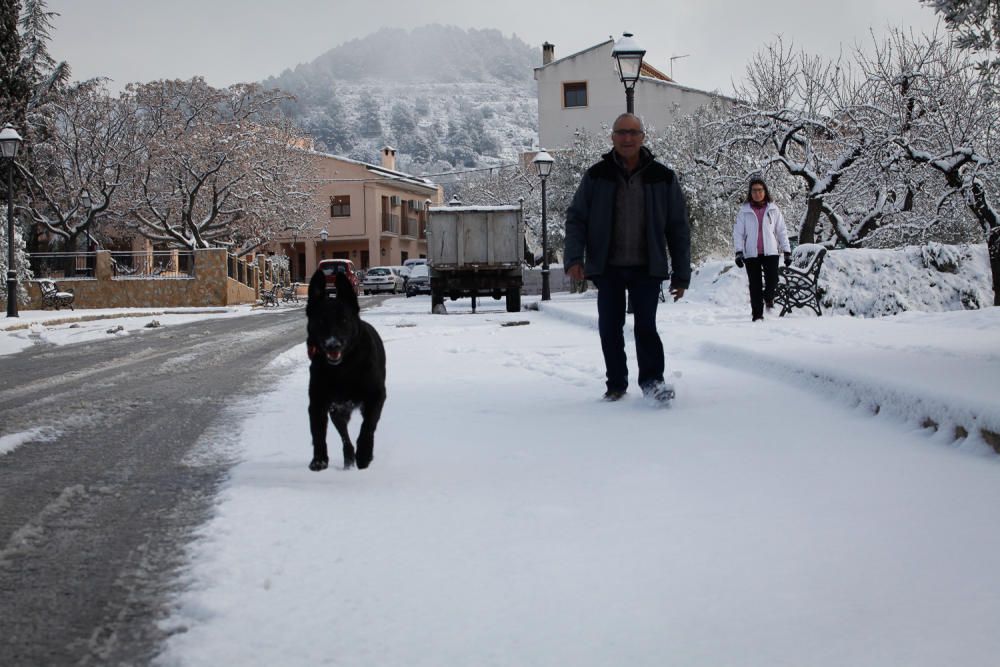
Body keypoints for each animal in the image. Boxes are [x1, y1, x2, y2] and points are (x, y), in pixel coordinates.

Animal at [302, 268, 384, 472]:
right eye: (321, 321)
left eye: (344, 320)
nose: (333, 345)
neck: (343, 369)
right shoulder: (318, 402)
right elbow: (318, 433)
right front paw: (319, 460)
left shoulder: (376, 396)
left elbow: (368, 426)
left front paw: (364, 455)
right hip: (338, 411)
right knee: (345, 437)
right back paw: (348, 460)